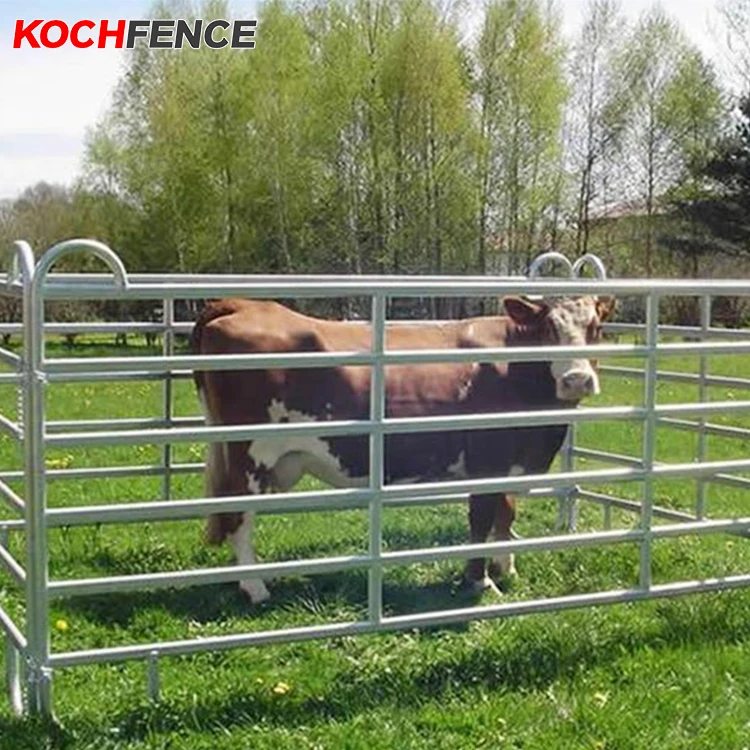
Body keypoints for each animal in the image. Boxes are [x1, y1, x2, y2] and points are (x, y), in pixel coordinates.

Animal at [191, 294, 616, 603]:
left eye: (596, 327)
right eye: (548, 327)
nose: (577, 379)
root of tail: (245, 303)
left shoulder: (508, 463)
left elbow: (505, 513)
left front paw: (506, 568)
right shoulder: (487, 459)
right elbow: (481, 519)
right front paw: (479, 582)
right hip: (249, 455)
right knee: (237, 515)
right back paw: (255, 587)